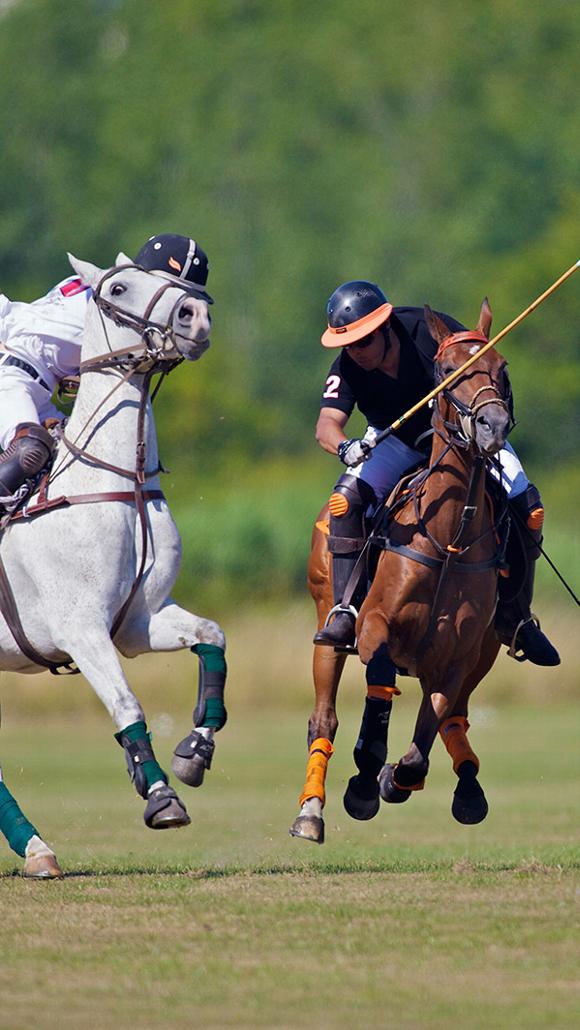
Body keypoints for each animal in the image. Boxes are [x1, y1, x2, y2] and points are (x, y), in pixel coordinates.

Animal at [0, 255, 226, 877]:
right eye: (120, 287)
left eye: (191, 288)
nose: (196, 317)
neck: (114, 481)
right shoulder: (81, 631)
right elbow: (127, 703)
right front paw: (161, 796)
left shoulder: (136, 625)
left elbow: (211, 634)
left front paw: (195, 750)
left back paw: (37, 849)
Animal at [292, 300, 510, 844]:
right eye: (445, 370)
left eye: (501, 368)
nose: (493, 426)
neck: (449, 539)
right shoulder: (375, 627)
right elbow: (380, 683)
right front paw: (365, 779)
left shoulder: (459, 656)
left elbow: (428, 730)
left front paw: (394, 778)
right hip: (326, 624)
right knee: (323, 718)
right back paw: (311, 811)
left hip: (487, 652)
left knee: (457, 717)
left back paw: (468, 790)